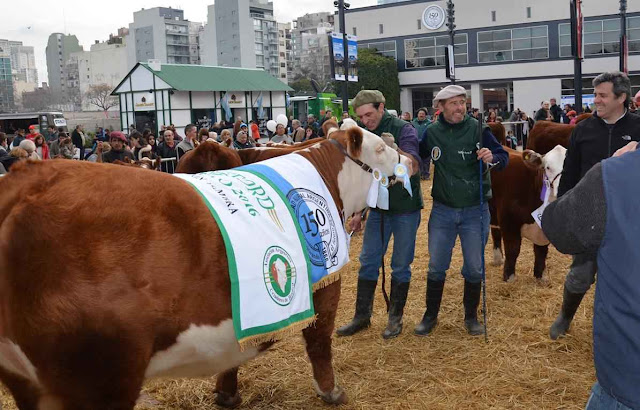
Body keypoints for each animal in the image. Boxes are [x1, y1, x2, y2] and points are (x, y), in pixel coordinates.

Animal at [0, 126, 416, 408]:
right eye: (381, 147)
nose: (411, 161)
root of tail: (26, 181)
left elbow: (236, 349)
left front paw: (226, 394)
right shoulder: (325, 282)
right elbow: (319, 342)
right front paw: (332, 392)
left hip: (26, 377)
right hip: (97, 376)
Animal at [490, 146, 564, 284]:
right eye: (548, 167)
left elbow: (541, 251)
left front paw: (540, 276)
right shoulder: (508, 222)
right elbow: (513, 250)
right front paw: (509, 278)